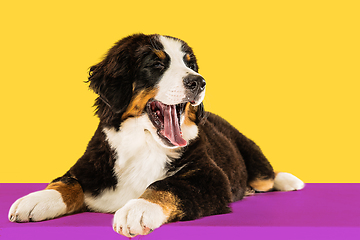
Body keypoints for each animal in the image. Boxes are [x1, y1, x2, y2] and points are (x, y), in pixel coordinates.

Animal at [7, 32, 304, 237]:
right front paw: (35, 200)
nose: (199, 81)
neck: (144, 143)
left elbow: (166, 185)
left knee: (267, 176)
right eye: (157, 65)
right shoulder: (90, 164)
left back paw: (288, 181)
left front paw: (137, 208)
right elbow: (66, 182)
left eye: (191, 64)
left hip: (250, 154)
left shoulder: (211, 177)